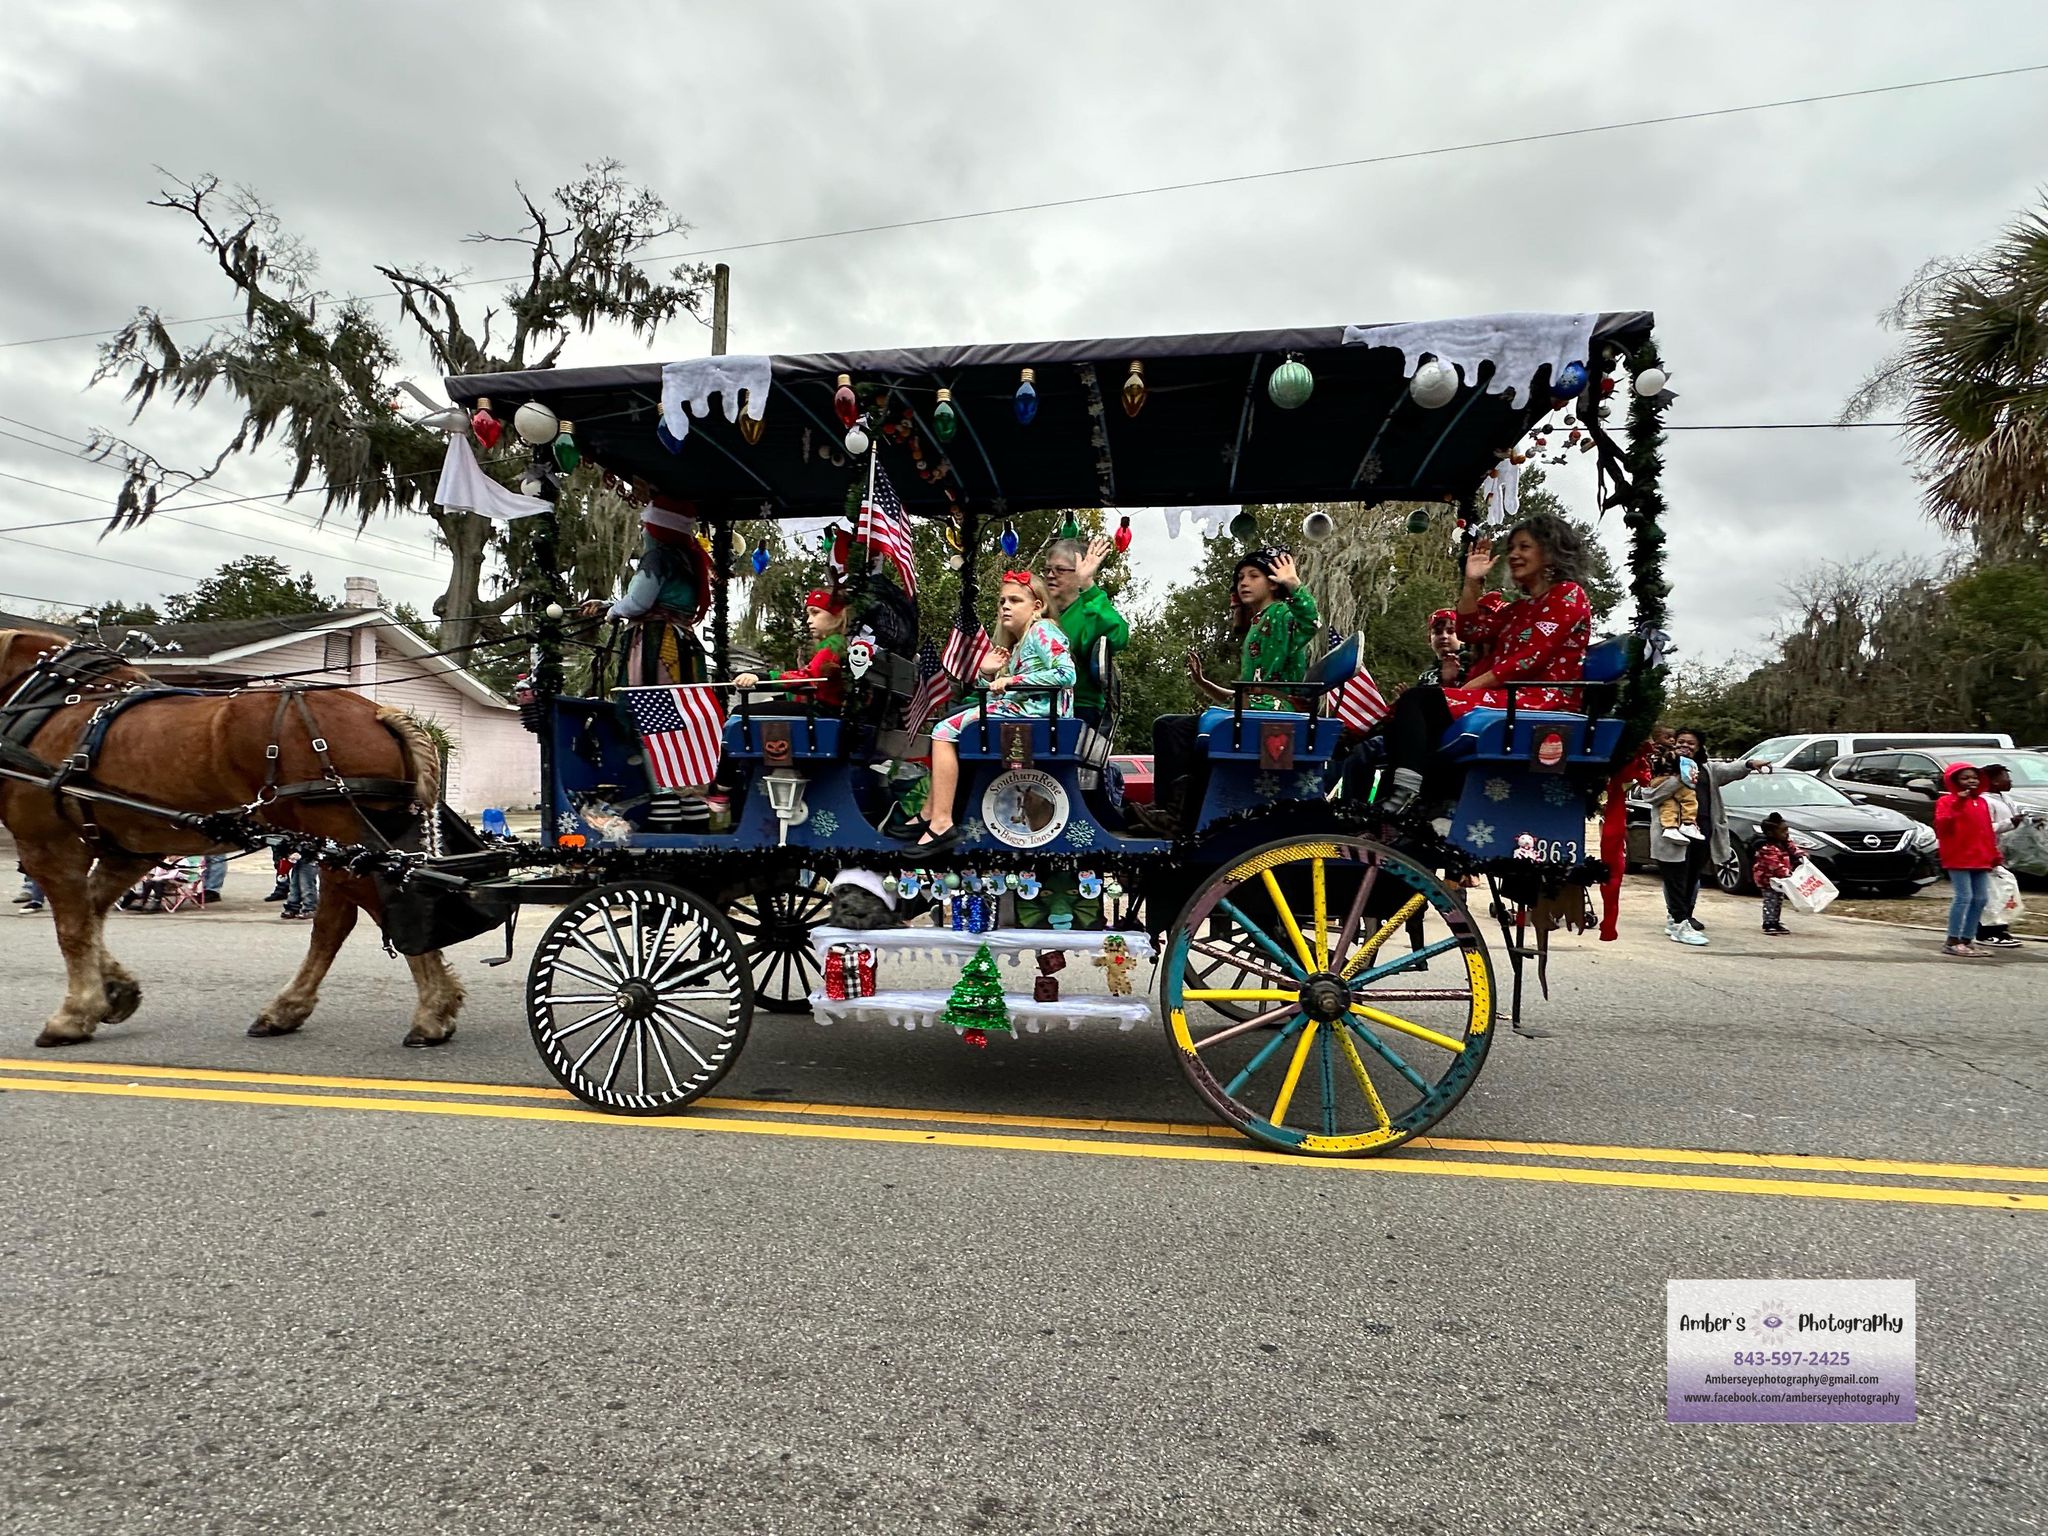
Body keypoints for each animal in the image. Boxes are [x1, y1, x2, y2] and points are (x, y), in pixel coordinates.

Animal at [0, 630, 464, 1056]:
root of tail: (380, 713)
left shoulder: (49, 845)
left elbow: (73, 929)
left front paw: (73, 1015)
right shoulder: (129, 850)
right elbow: (93, 914)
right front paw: (117, 991)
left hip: (341, 840)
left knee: (377, 910)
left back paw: (431, 1013)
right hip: (345, 846)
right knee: (337, 923)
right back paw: (288, 1010)